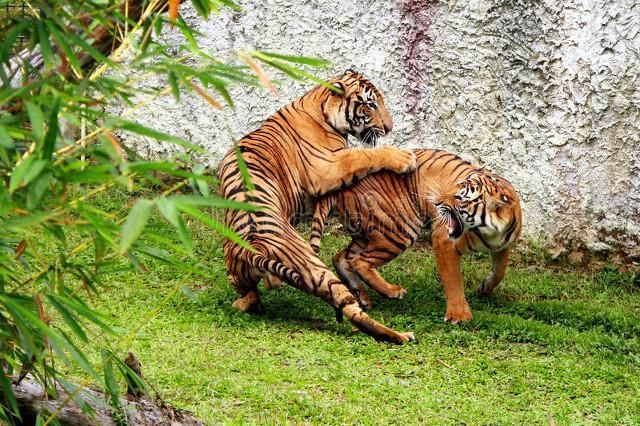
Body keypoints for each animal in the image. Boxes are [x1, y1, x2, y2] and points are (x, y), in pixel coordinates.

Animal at [219, 70, 420, 342]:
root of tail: (255, 246)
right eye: (370, 105)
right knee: (350, 308)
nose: (389, 128)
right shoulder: (327, 166)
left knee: (250, 296)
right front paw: (404, 157)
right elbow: (364, 155)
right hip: (314, 267)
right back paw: (400, 334)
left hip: (237, 269)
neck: (320, 105)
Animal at [308, 149, 524, 322]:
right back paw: (393, 291)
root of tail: (343, 186)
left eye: (460, 197)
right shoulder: (444, 241)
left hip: (368, 234)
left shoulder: (502, 246)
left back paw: (362, 297)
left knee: (342, 258)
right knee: (360, 261)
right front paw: (458, 315)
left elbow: (500, 271)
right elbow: (454, 279)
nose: (436, 202)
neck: (491, 232)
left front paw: (485, 288)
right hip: (399, 230)